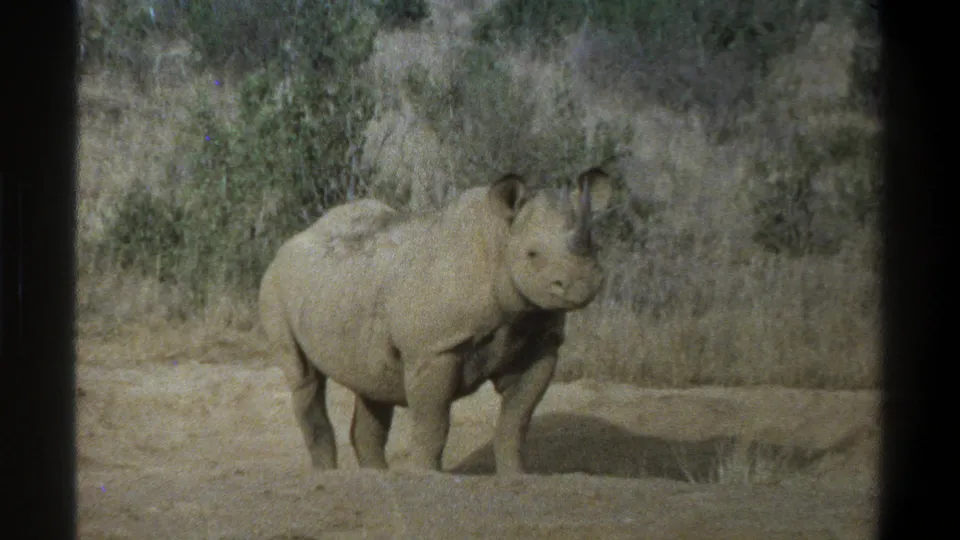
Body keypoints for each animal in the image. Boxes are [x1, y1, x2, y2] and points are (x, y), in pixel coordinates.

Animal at [258, 167, 613, 475]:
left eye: (596, 247)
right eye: (532, 255)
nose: (581, 284)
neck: (499, 240)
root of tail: (293, 239)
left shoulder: (540, 341)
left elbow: (516, 420)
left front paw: (516, 476)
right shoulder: (434, 349)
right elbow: (433, 421)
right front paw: (427, 475)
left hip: (341, 287)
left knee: (371, 383)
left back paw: (376, 475)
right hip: (276, 284)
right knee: (304, 378)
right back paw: (327, 474)